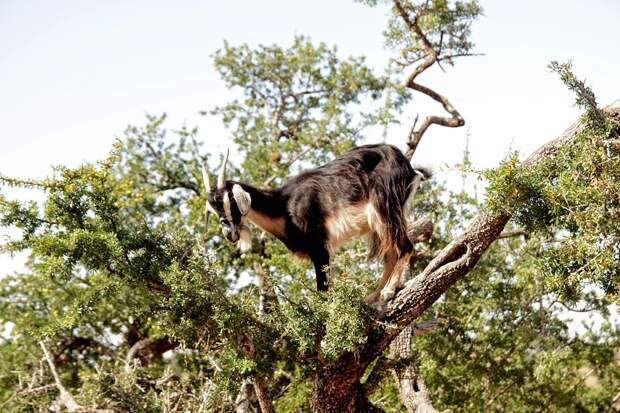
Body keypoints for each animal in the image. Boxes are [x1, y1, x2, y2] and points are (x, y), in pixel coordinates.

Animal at [201, 143, 428, 300]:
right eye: (213, 208)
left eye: (229, 200)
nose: (229, 233)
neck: (284, 204)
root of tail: (408, 167)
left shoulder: (319, 246)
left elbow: (322, 292)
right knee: (390, 252)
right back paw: (373, 295)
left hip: (384, 206)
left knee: (405, 246)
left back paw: (388, 291)